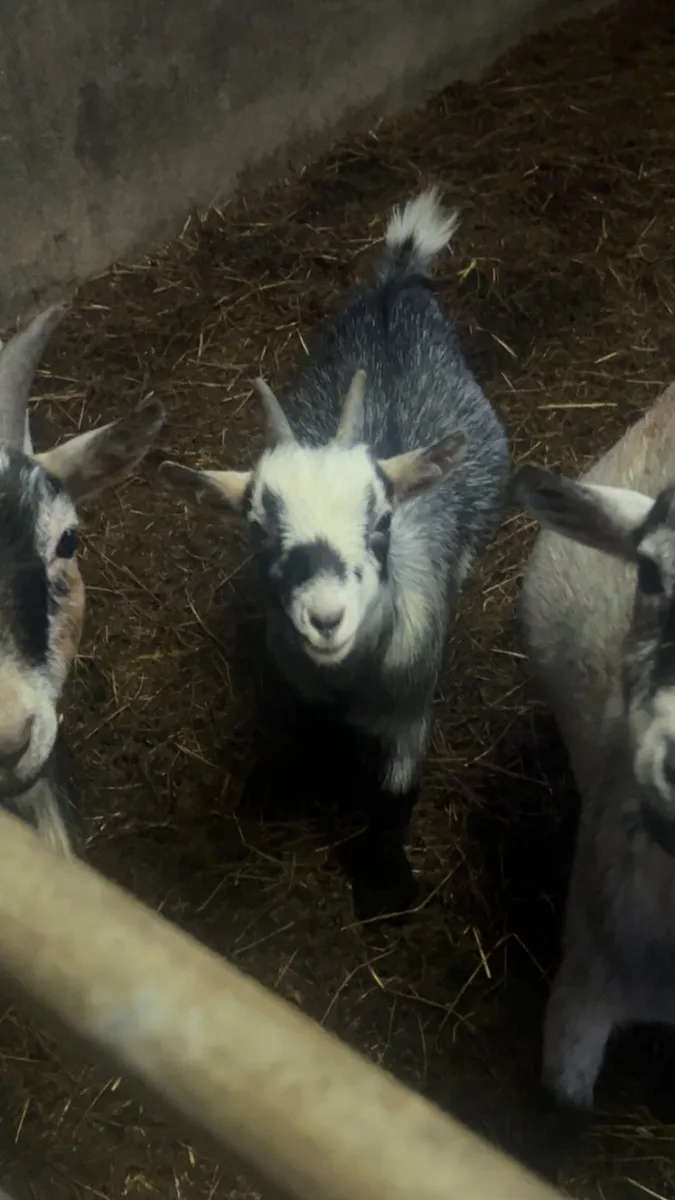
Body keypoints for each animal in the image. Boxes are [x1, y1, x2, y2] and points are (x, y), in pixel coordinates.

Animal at [159, 187, 509, 919]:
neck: (351, 682)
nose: (324, 617)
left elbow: (394, 798)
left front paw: (385, 890)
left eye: (380, 519)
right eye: (257, 527)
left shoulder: (411, 706)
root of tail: (394, 289)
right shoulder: (307, 694)